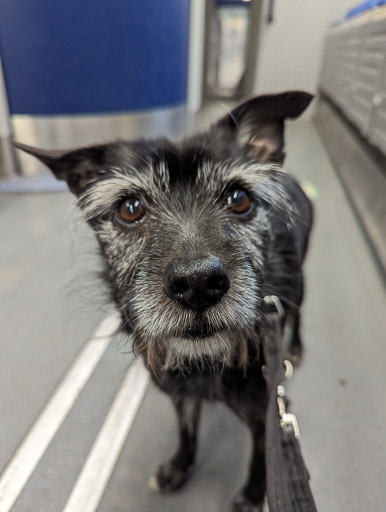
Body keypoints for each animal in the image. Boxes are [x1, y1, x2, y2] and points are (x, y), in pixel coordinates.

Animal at [15, 90, 314, 510]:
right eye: (130, 208)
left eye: (239, 199)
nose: (198, 283)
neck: (207, 364)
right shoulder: (180, 396)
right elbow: (186, 434)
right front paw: (179, 468)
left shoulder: (265, 416)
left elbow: (263, 461)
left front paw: (252, 497)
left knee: (299, 314)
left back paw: (296, 347)